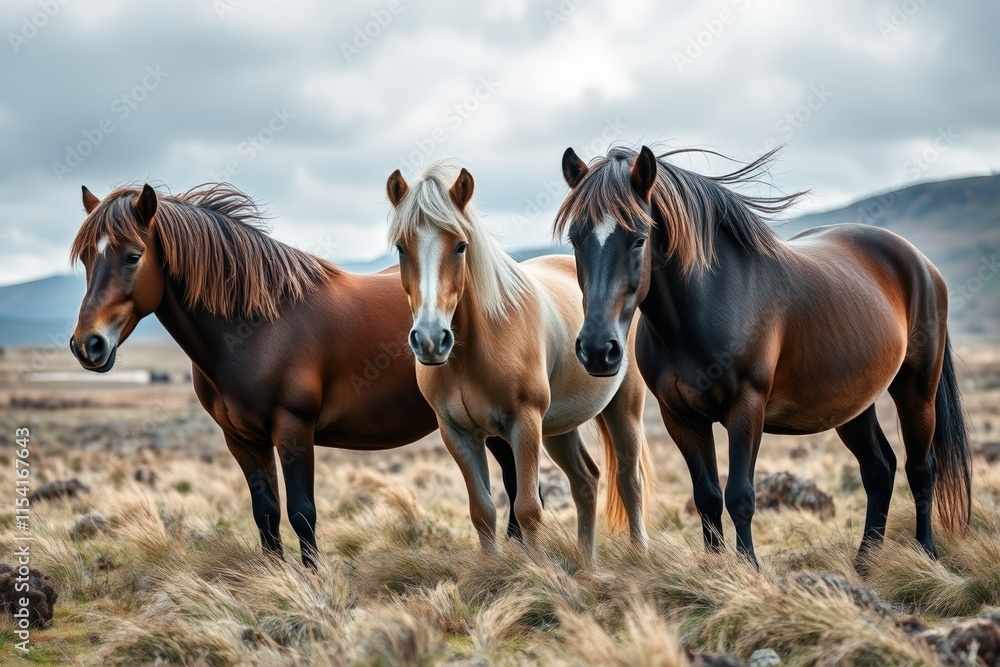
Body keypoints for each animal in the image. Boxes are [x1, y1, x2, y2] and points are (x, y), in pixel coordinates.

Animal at [68, 182, 531, 566]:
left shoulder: (293, 430)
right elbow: (266, 514)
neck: (257, 326)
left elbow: (301, 513)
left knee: (515, 481)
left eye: (133, 256)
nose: (87, 345)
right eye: (88, 257)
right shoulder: (242, 440)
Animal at [384, 161, 654, 563]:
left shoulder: (524, 425)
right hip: (559, 427)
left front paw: (539, 571)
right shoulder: (458, 434)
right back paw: (587, 566)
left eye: (461, 246)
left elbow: (528, 509)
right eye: (402, 247)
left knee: (628, 479)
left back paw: (639, 557)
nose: (431, 340)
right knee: (586, 480)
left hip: (623, 409)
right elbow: (482, 511)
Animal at [555, 145, 972, 572]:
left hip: (917, 390)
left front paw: (748, 569)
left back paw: (927, 554)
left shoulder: (746, 407)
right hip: (853, 406)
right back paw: (864, 562)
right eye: (575, 238)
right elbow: (707, 498)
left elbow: (740, 495)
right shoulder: (681, 418)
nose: (597, 349)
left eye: (639, 239)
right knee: (879, 470)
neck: (708, 303)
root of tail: (920, 263)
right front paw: (715, 572)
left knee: (920, 470)